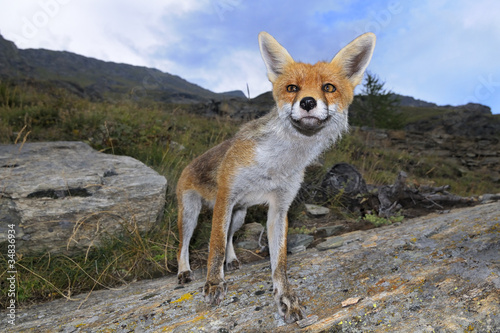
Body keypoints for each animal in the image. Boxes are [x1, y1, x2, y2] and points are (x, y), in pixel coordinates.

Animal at [176, 30, 376, 322]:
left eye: (328, 87)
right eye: (292, 88)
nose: (307, 102)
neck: (276, 162)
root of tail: (189, 164)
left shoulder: (279, 208)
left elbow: (279, 262)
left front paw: (285, 297)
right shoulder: (226, 195)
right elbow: (215, 246)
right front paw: (214, 283)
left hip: (239, 216)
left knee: (230, 238)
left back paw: (232, 261)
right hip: (192, 214)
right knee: (185, 243)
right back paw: (184, 271)